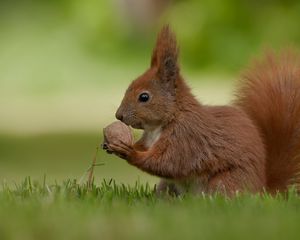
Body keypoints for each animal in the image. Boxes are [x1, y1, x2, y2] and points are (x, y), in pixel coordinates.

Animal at [106, 25, 300, 196]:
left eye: (144, 97)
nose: (119, 115)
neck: (162, 124)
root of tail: (261, 189)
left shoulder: (186, 139)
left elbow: (166, 163)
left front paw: (130, 153)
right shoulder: (150, 139)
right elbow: (145, 148)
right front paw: (114, 145)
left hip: (224, 182)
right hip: (168, 186)